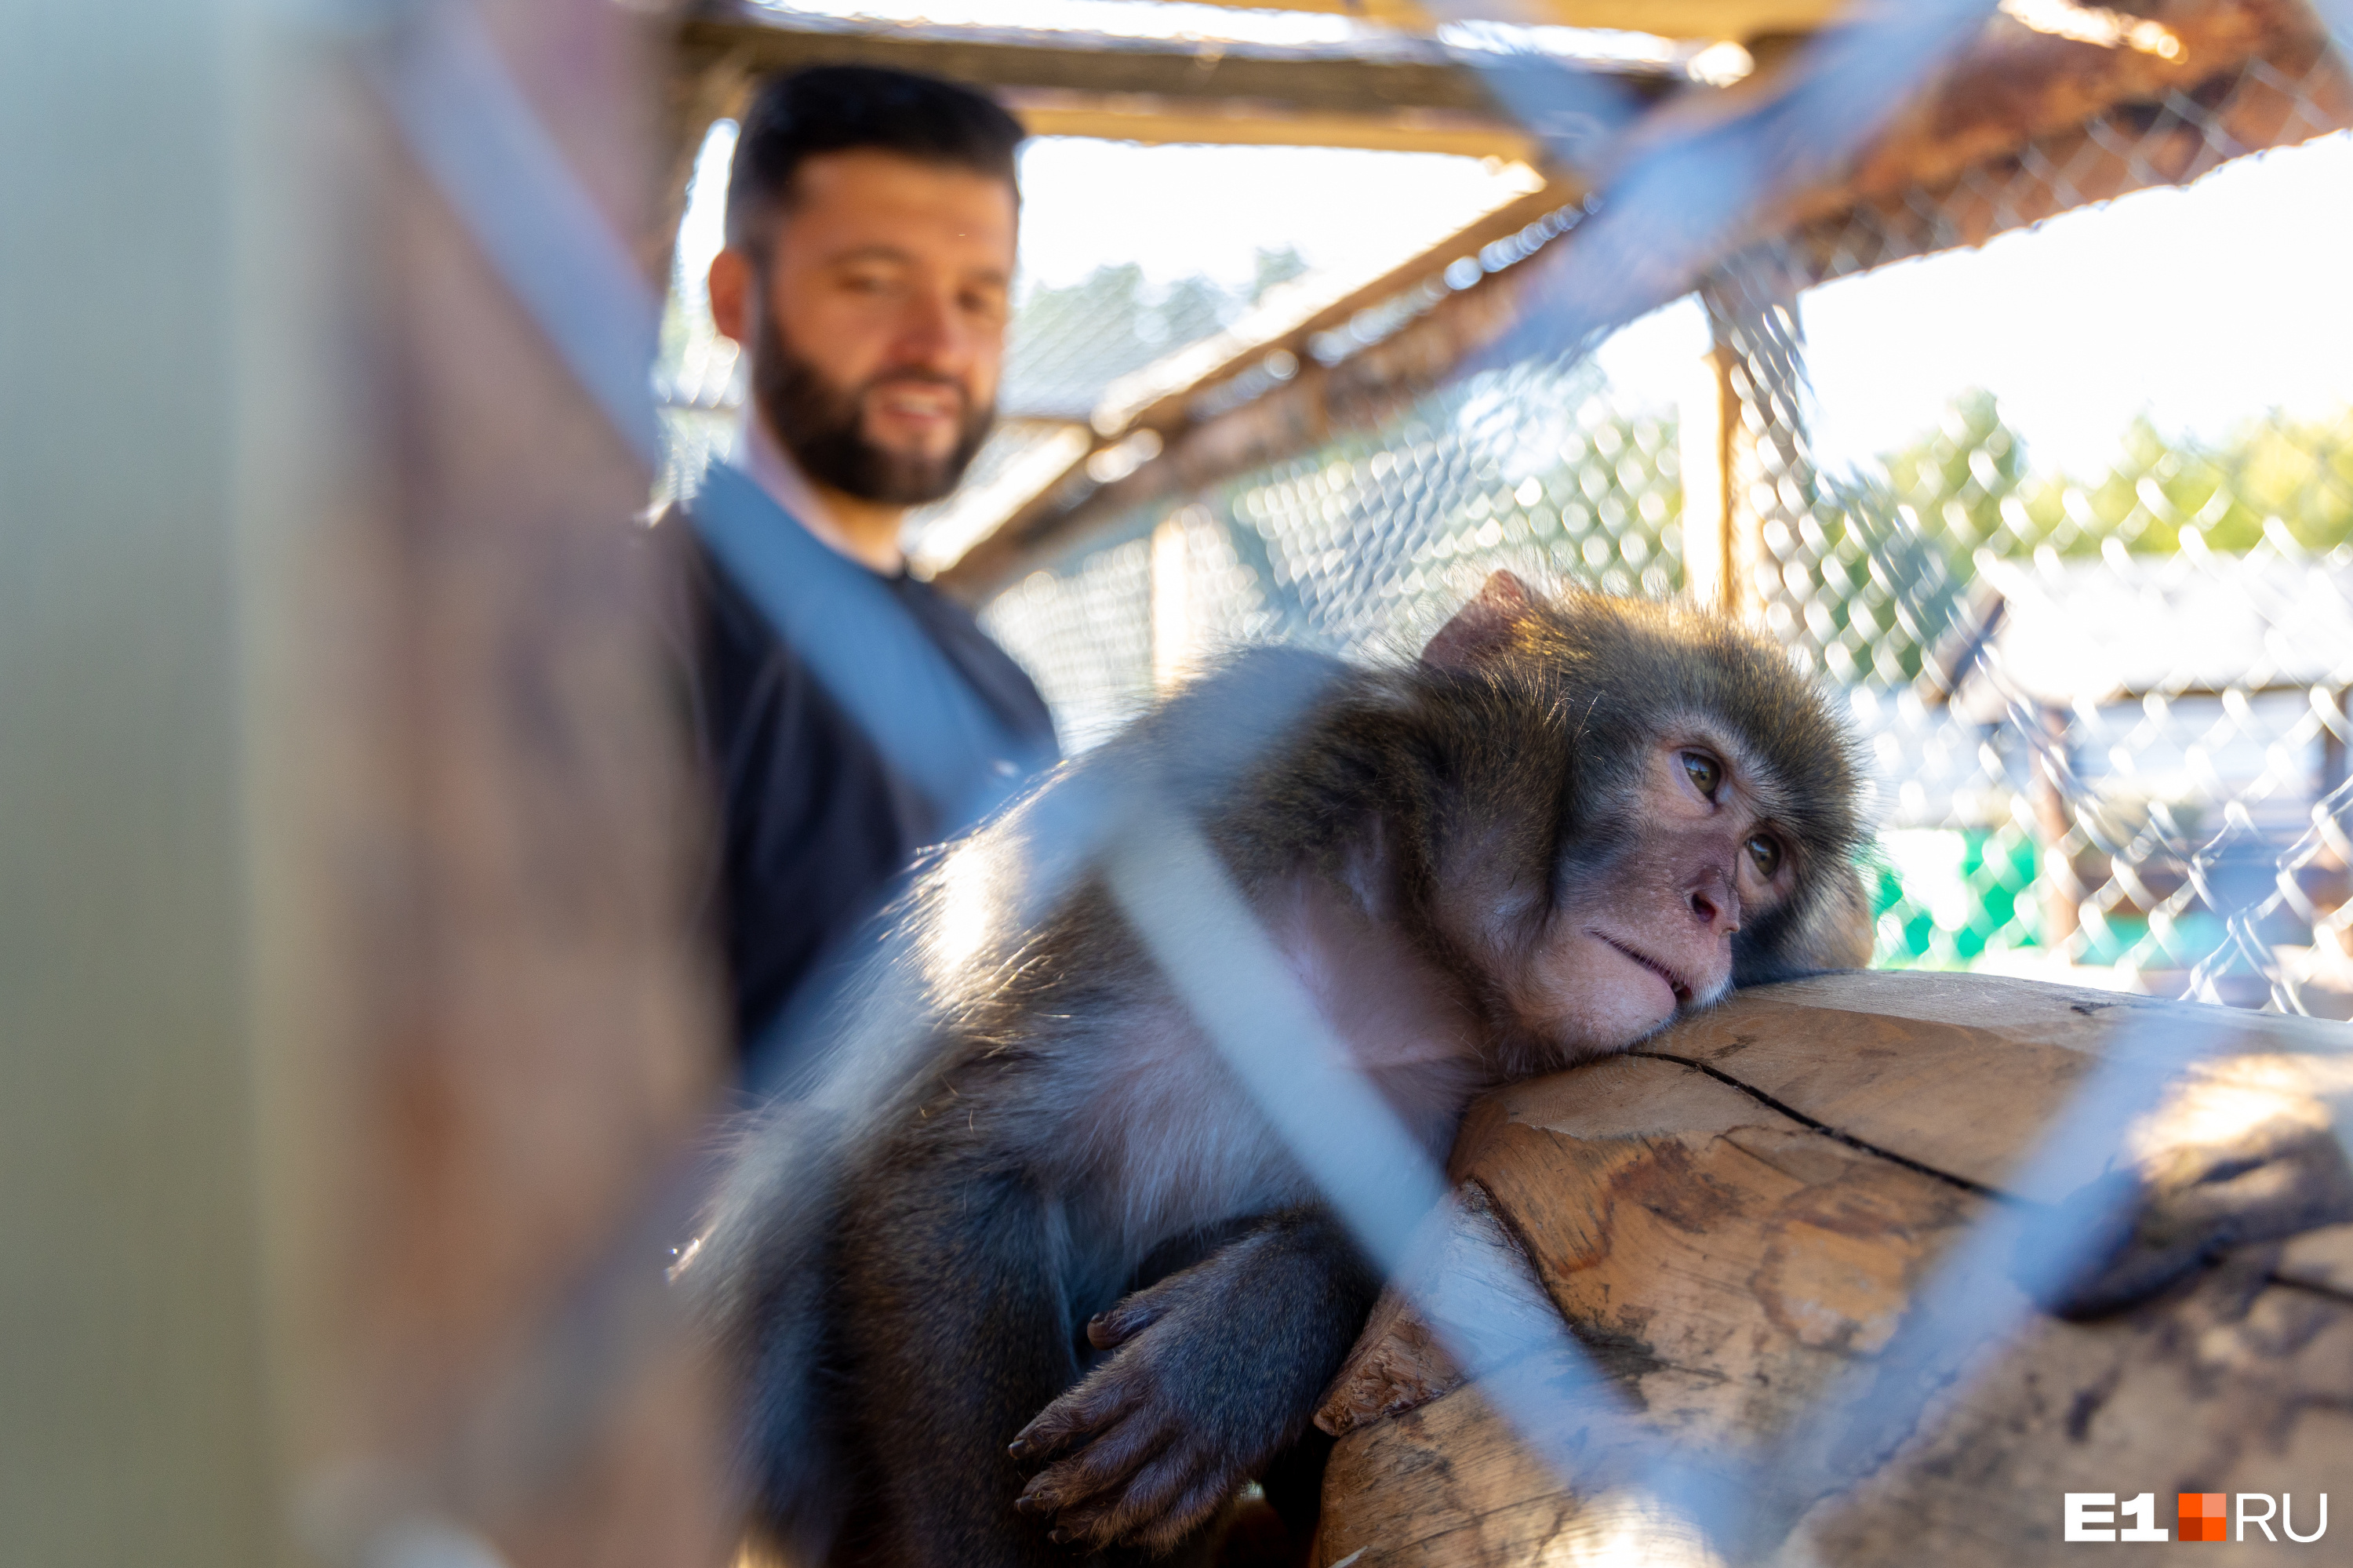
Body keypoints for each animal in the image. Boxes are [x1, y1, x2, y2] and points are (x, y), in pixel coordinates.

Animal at [682, 567, 1873, 1553]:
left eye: (1766, 855)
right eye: (1701, 774)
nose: (1717, 909)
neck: (1403, 939)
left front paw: (1245, 1339)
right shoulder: (1231, 781)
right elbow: (950, 1166)